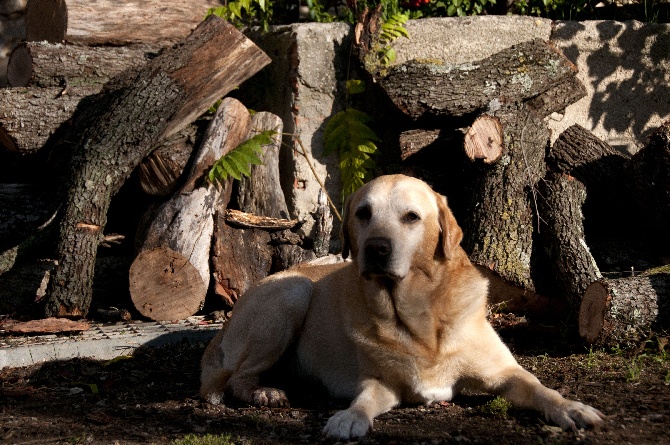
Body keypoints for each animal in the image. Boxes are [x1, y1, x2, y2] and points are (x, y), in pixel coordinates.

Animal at [200, 173, 604, 438]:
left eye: (411, 217)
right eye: (362, 213)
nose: (376, 248)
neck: (418, 317)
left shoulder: (505, 372)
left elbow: (540, 388)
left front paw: (571, 407)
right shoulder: (380, 382)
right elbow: (364, 399)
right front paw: (348, 418)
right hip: (292, 293)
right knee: (235, 377)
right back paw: (264, 391)